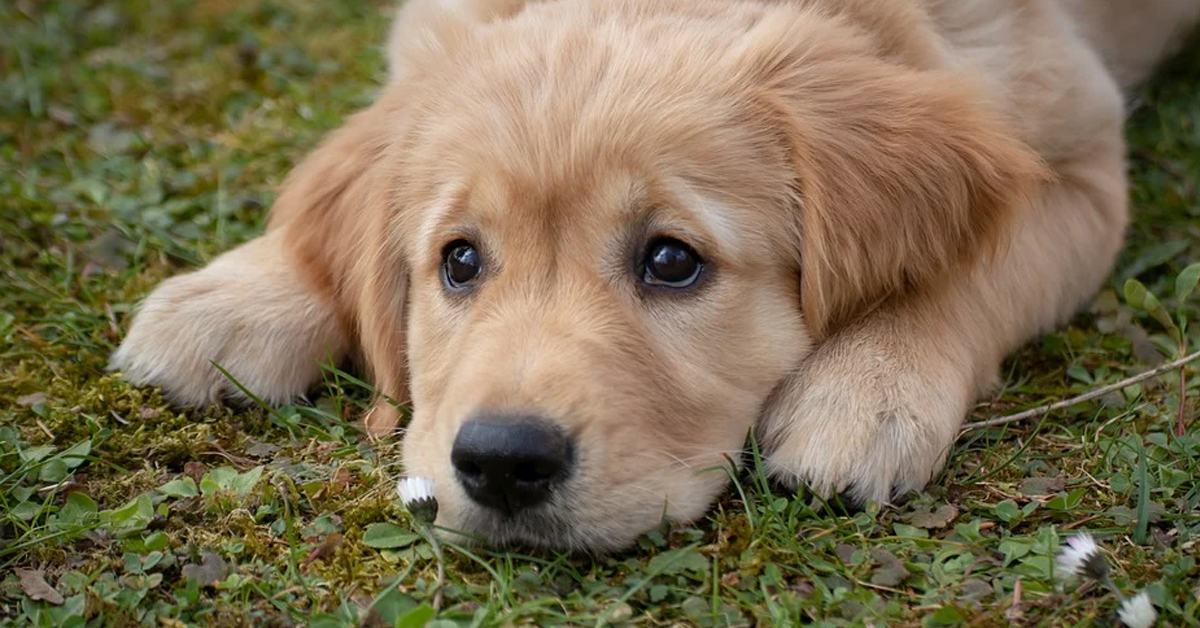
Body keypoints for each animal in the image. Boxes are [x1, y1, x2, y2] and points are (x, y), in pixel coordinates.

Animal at [108, 0, 1195, 549]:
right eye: (458, 260)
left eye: (672, 261)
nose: (502, 462)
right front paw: (238, 293)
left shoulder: (1080, 162)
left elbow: (967, 270)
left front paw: (868, 387)